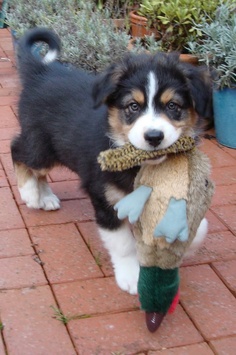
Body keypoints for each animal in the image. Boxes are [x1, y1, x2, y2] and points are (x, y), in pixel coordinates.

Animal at [11, 27, 212, 294]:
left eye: (173, 106)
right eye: (133, 106)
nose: (154, 137)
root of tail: (42, 72)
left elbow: (199, 228)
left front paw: (182, 247)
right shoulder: (104, 199)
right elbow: (122, 243)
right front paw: (131, 276)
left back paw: (46, 197)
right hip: (41, 148)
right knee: (17, 150)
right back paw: (31, 193)